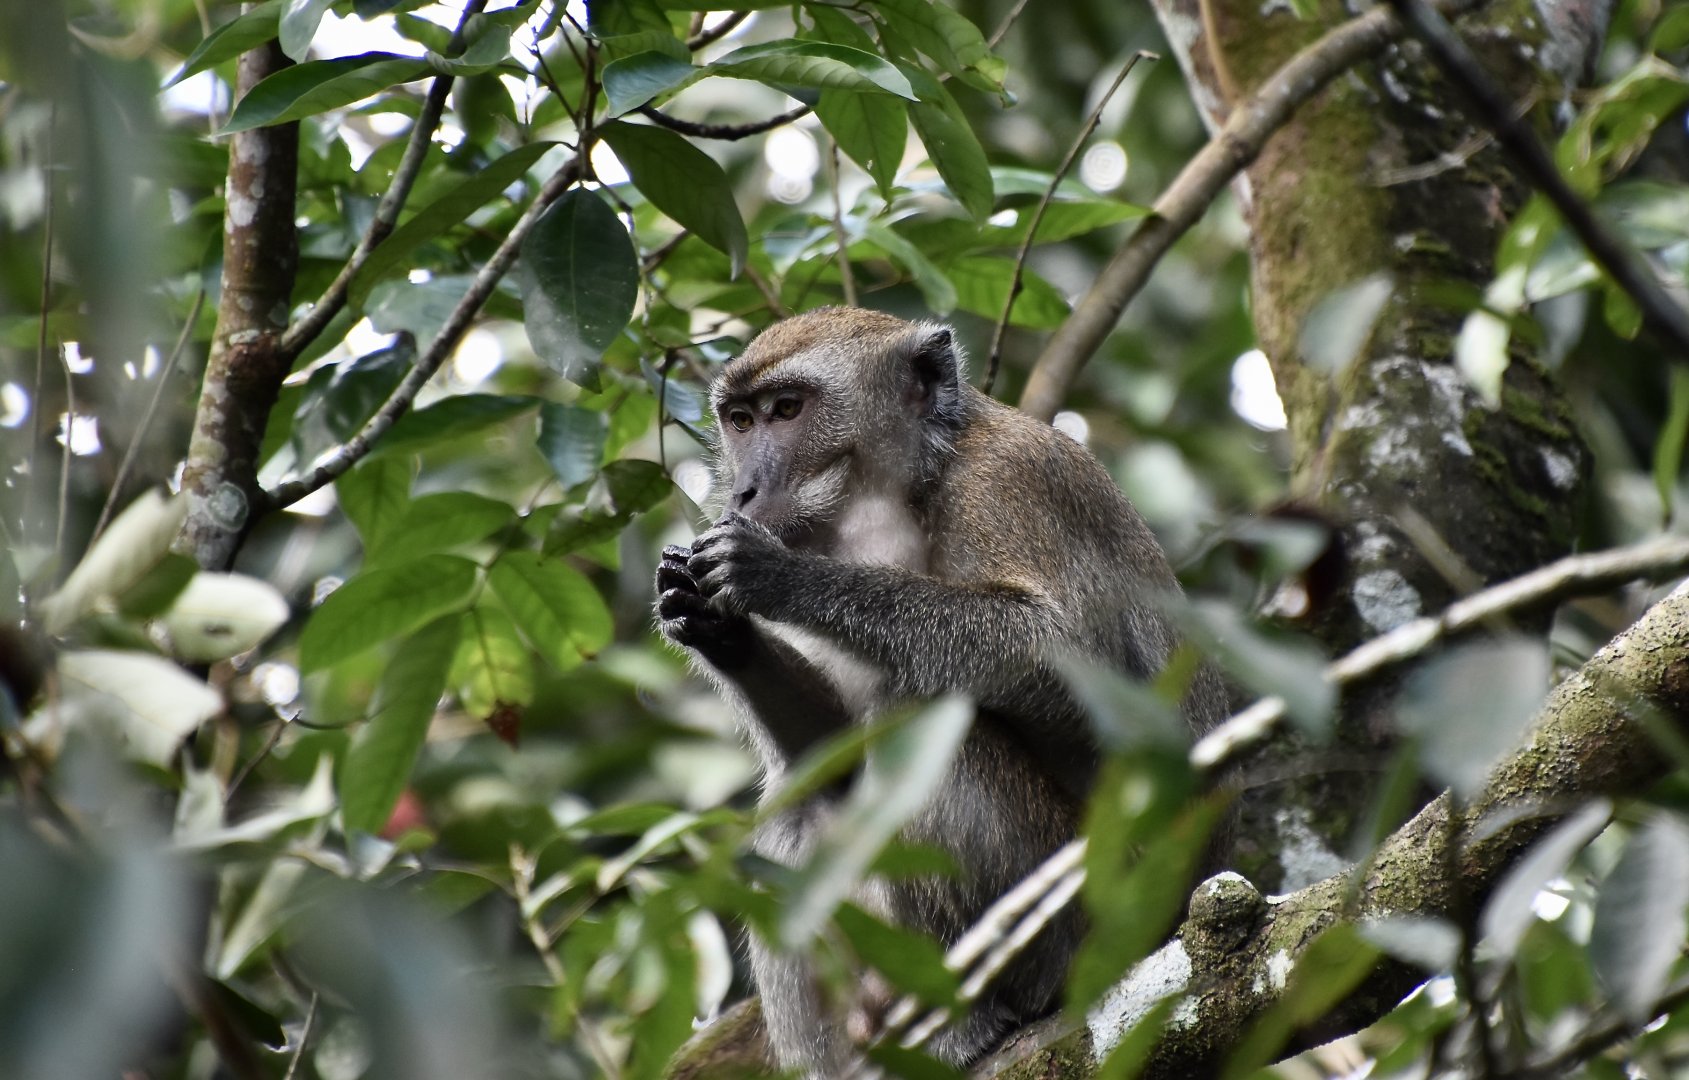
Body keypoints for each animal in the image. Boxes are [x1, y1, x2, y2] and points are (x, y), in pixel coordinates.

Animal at [654, 307, 1228, 1076]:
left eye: (786, 410)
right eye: (740, 421)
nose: (742, 490)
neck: (904, 488)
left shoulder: (1009, 481)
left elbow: (1066, 662)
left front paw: (777, 577)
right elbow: (828, 746)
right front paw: (712, 624)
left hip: (1089, 916)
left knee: (931, 729)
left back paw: (966, 1019)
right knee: (804, 799)